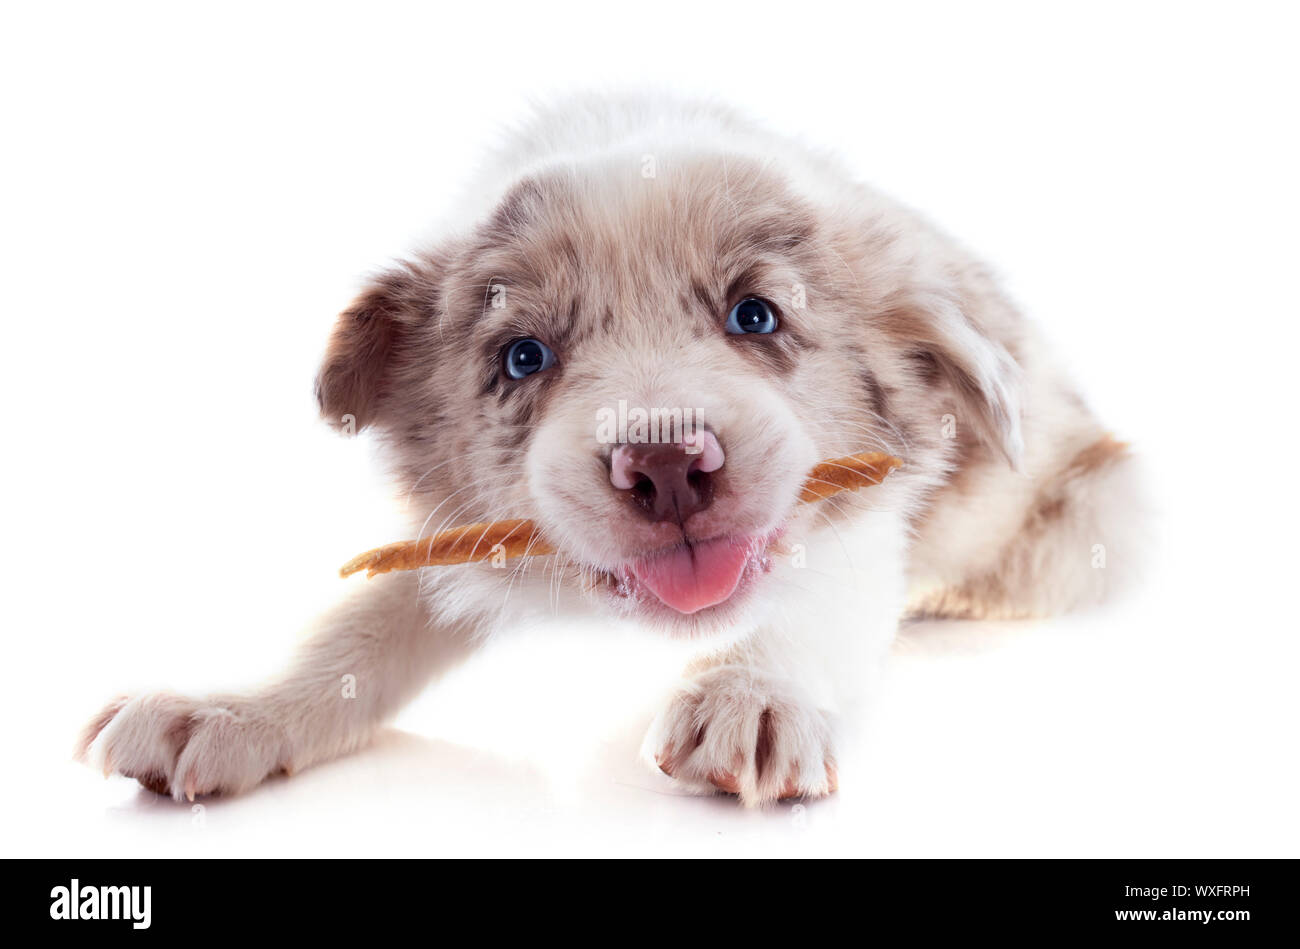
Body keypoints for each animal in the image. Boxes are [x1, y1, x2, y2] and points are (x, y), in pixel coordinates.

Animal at [76, 94, 1144, 806]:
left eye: (755, 315)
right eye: (525, 355)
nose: (668, 467)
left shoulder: (869, 513)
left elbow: (815, 598)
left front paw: (752, 691)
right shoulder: (460, 534)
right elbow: (352, 633)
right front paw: (227, 710)